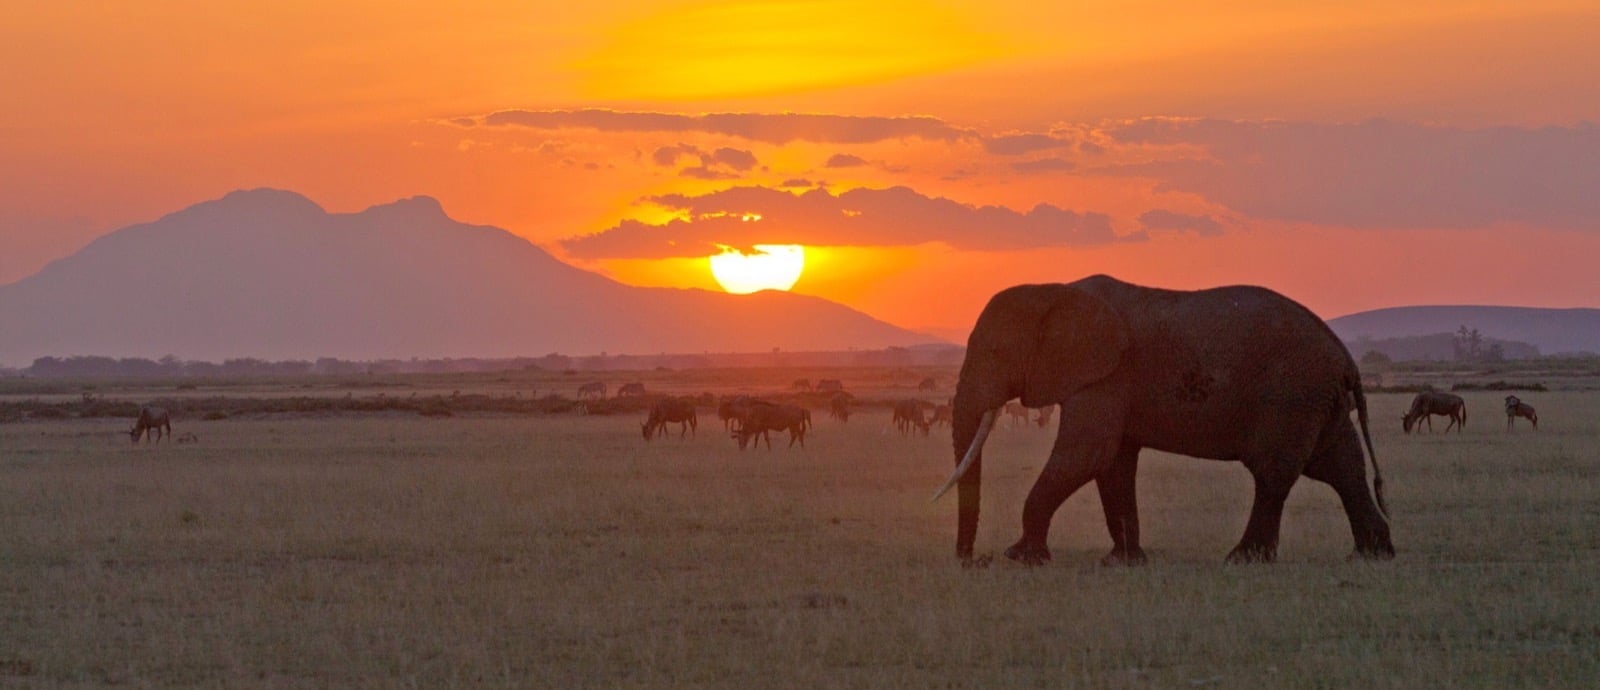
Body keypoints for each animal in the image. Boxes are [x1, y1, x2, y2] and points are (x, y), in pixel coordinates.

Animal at [934, 275, 1395, 566]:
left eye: (994, 352)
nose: (973, 560)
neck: (1055, 289)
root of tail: (1347, 359)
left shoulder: (1106, 376)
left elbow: (1086, 454)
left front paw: (1022, 557)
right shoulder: (1110, 383)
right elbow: (1112, 464)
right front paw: (1122, 562)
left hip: (1291, 396)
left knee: (1274, 473)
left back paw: (1242, 560)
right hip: (1318, 402)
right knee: (1342, 468)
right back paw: (1372, 555)